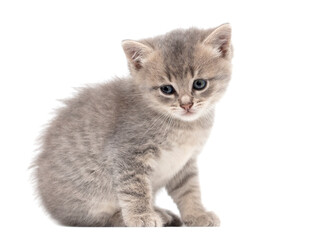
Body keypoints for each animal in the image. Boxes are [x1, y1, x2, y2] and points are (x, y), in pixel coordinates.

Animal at [31, 24, 233, 227]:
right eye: (166, 89)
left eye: (199, 84)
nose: (186, 105)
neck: (184, 128)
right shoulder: (128, 154)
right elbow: (135, 189)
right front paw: (141, 216)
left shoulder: (185, 162)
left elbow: (189, 190)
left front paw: (197, 214)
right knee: (97, 218)